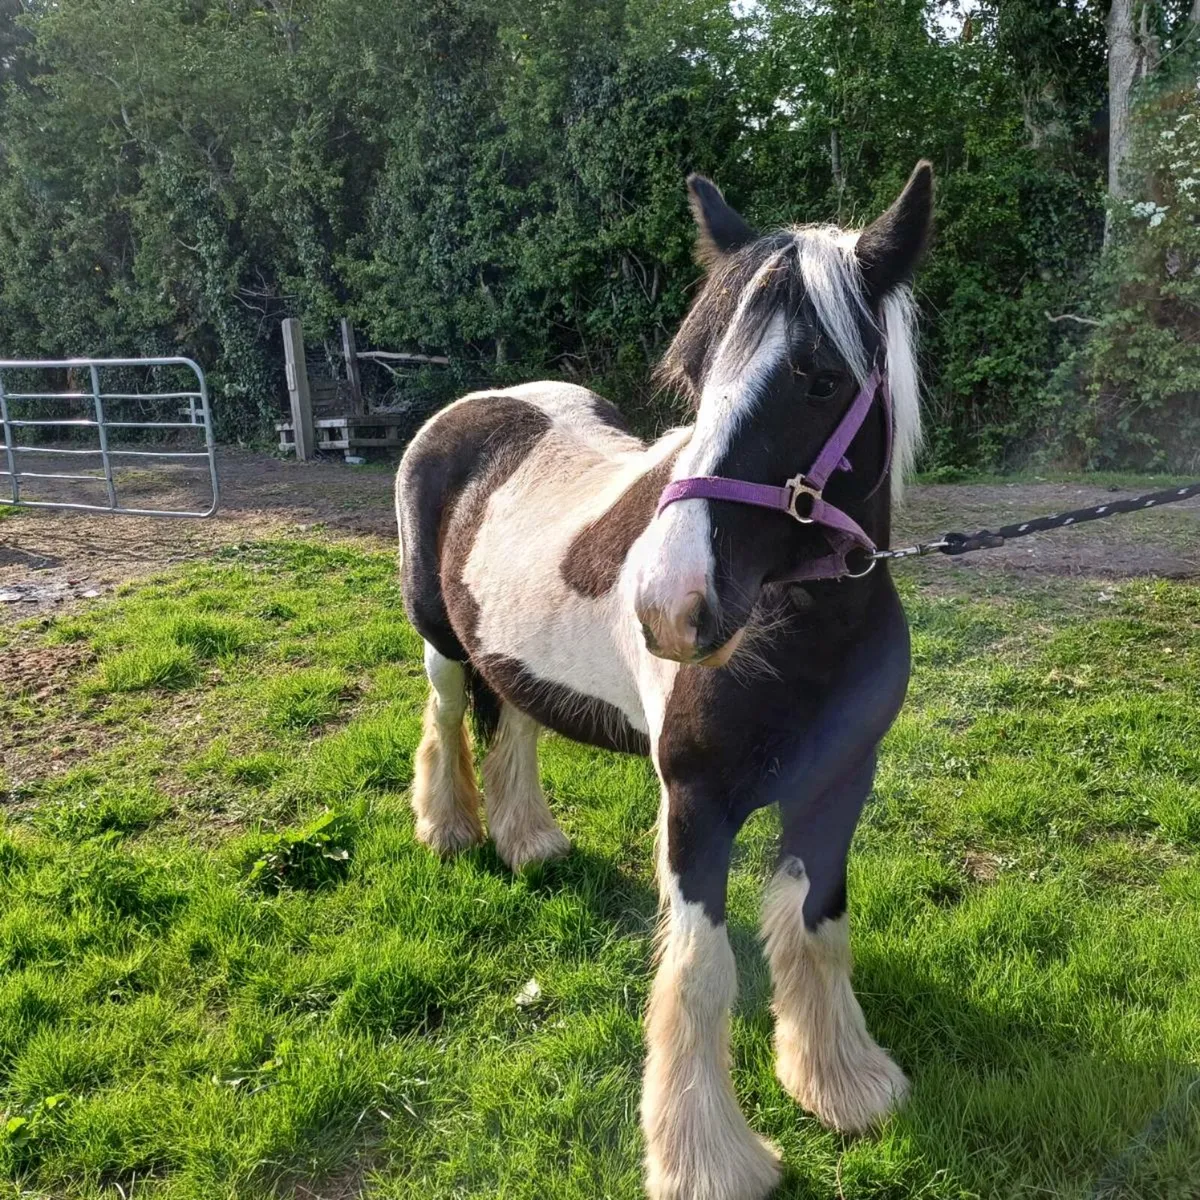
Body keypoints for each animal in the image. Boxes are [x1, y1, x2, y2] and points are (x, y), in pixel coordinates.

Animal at [395, 160, 933, 1200]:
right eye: (694, 375)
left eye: (820, 378)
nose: (667, 606)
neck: (792, 639)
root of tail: (474, 406)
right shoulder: (694, 806)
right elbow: (703, 969)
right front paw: (709, 1160)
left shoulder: (840, 784)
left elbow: (816, 923)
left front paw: (842, 1085)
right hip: (439, 641)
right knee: (446, 719)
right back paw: (450, 830)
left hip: (509, 656)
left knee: (512, 721)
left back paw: (530, 843)